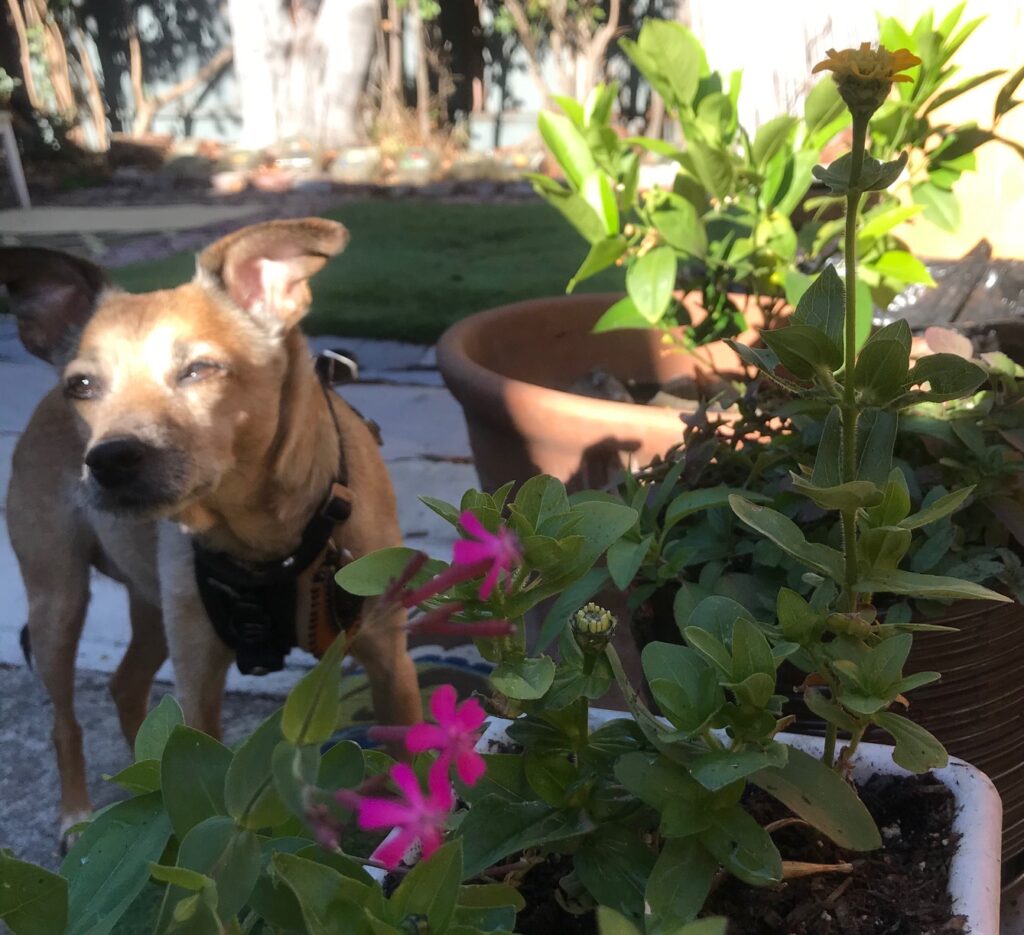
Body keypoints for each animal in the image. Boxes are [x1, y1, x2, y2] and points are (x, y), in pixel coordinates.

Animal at [1, 217, 419, 839]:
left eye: (199, 369)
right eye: (82, 386)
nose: (107, 460)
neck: (263, 534)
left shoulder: (391, 660)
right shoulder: (197, 675)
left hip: (152, 605)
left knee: (127, 687)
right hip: (59, 601)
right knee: (64, 722)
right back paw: (77, 814)